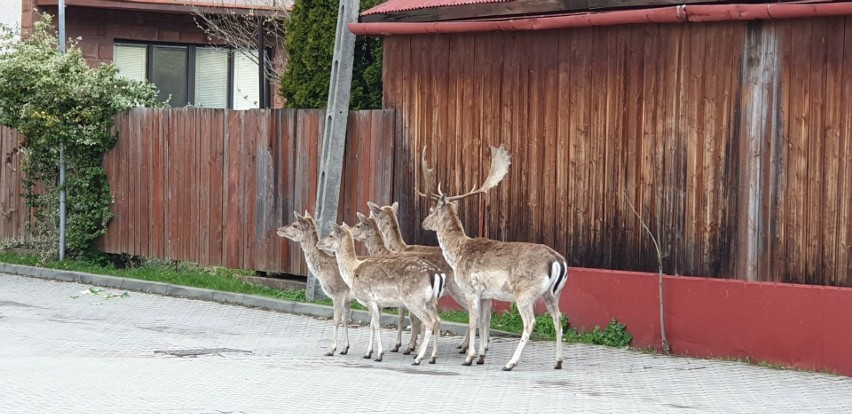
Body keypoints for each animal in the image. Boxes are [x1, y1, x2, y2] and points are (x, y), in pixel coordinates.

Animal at [314, 223, 446, 366]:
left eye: (330, 235)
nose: (318, 243)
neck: (353, 271)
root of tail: (437, 274)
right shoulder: (377, 303)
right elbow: (372, 324)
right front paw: (368, 353)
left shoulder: (369, 298)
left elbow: (376, 324)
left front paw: (379, 355)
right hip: (430, 301)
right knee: (438, 320)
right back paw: (432, 357)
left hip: (415, 300)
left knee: (429, 321)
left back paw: (418, 358)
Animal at [364, 201, 492, 352]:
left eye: (373, 214)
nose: (367, 218)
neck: (398, 249)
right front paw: (414, 344)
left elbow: (405, 317)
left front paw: (402, 345)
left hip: (462, 290)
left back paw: (465, 345)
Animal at [422, 146, 568, 372]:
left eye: (431, 210)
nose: (423, 223)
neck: (458, 253)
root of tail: (558, 261)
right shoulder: (486, 294)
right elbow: (484, 322)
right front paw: (481, 356)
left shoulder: (471, 289)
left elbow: (473, 322)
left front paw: (469, 357)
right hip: (553, 294)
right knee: (558, 321)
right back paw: (558, 362)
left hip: (525, 292)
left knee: (530, 322)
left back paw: (510, 363)